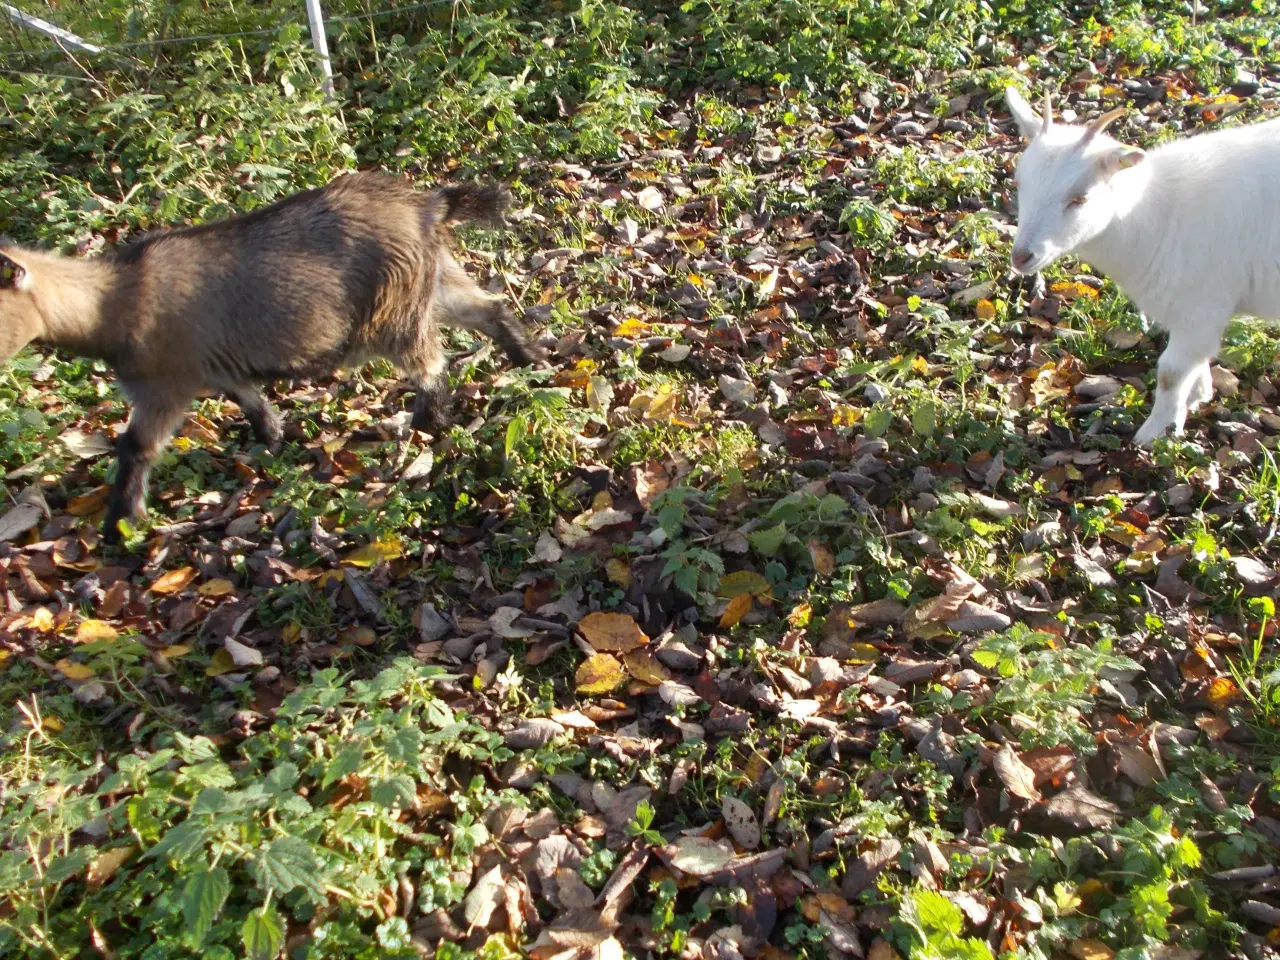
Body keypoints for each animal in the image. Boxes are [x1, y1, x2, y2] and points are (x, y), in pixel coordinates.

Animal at [0, 171, 540, 542]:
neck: (117, 297)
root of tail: (428, 204)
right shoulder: (220, 367)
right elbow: (251, 402)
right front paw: (272, 440)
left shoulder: (165, 383)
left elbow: (136, 448)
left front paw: (120, 525)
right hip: (433, 279)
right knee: (488, 309)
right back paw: (529, 357)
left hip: (394, 307)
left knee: (427, 363)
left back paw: (434, 423)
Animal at [1003, 86, 1280, 448]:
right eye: (1020, 182)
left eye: (1081, 198)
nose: (1021, 256)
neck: (1159, 214)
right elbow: (1196, 361)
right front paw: (1198, 395)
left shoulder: (1201, 306)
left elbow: (1170, 373)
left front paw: (1156, 434)